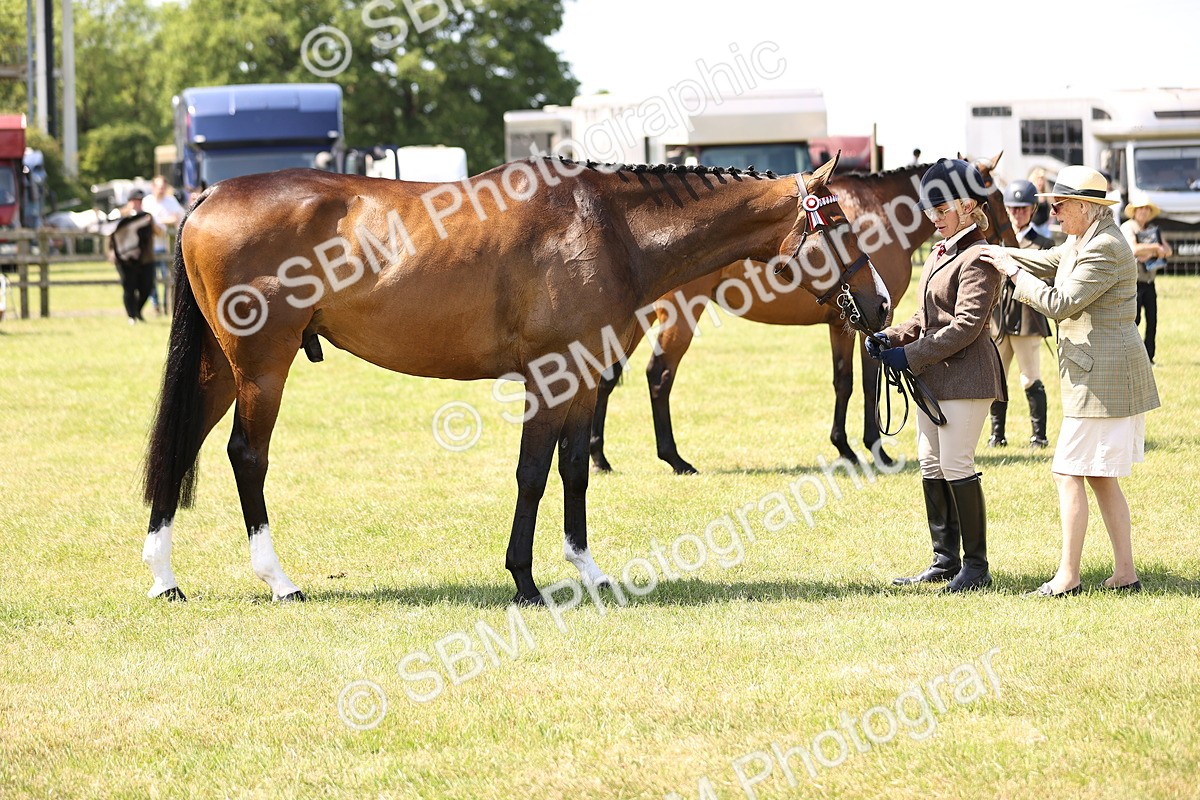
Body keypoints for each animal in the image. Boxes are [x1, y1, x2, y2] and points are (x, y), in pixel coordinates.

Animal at [140, 153, 891, 605]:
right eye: (840, 227)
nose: (882, 304)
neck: (608, 228)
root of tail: (206, 196)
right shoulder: (550, 374)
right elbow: (533, 474)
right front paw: (524, 580)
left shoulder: (584, 376)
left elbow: (574, 470)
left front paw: (589, 569)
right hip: (261, 366)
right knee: (246, 456)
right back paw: (278, 580)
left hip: (219, 367)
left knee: (179, 445)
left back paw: (164, 578)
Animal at [587, 154, 1017, 475]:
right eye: (992, 198)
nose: (1011, 243)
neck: (879, 214)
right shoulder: (864, 323)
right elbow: (865, 383)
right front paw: (875, 450)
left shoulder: (849, 322)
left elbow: (842, 381)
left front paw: (845, 448)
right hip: (679, 316)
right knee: (658, 375)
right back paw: (674, 459)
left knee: (607, 377)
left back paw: (600, 457)